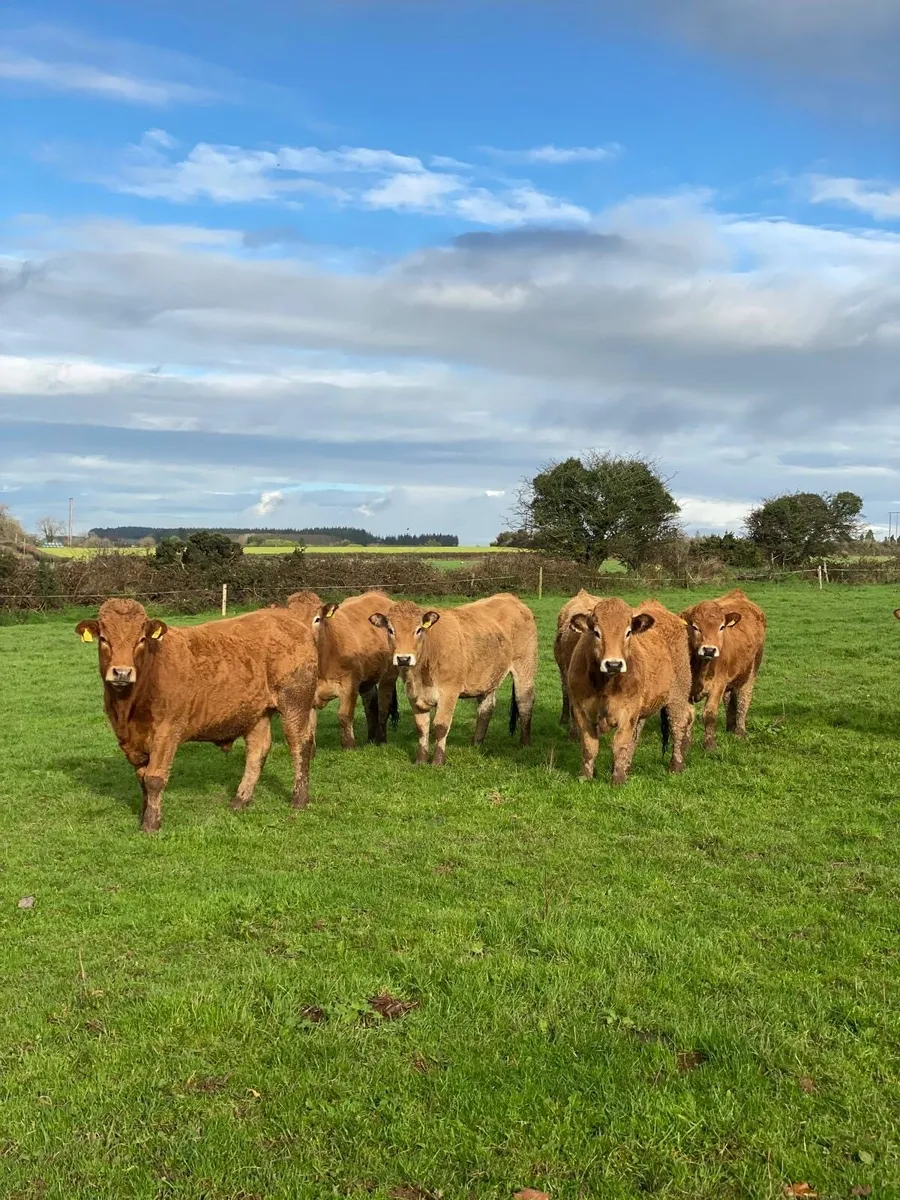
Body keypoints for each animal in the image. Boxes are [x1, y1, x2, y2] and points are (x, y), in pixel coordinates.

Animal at [75, 598, 318, 832]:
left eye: (141, 639)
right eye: (104, 639)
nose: (122, 672)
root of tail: (291, 621)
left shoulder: (168, 730)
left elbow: (154, 778)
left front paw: (151, 824)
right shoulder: (130, 738)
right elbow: (142, 778)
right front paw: (145, 815)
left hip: (295, 703)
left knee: (300, 745)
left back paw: (299, 799)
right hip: (257, 712)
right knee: (257, 751)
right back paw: (240, 800)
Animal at [286, 590, 399, 749]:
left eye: (317, 619)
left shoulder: (349, 684)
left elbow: (344, 715)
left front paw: (349, 745)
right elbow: (309, 724)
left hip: (389, 674)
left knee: (384, 704)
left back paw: (381, 740)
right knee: (370, 705)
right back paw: (371, 739)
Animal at [368, 593, 537, 766]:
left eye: (419, 629)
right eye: (390, 630)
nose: (403, 658)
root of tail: (509, 597)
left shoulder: (449, 692)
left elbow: (440, 726)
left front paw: (438, 761)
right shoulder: (413, 694)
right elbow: (422, 728)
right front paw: (421, 760)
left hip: (525, 666)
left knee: (524, 703)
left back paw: (525, 743)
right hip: (488, 676)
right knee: (486, 709)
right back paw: (476, 744)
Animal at [567, 597, 694, 785]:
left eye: (628, 633)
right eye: (596, 632)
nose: (613, 664)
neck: (605, 685)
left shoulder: (627, 712)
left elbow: (619, 745)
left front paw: (618, 780)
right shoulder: (581, 710)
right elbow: (590, 746)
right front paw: (586, 777)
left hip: (677, 696)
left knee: (679, 726)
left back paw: (675, 766)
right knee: (636, 736)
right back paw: (628, 768)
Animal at [680, 589, 766, 751]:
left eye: (721, 627)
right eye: (695, 627)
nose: (709, 650)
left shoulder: (718, 684)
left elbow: (710, 714)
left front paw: (710, 745)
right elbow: (687, 716)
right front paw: (684, 745)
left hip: (751, 670)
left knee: (744, 699)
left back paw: (739, 731)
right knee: (729, 698)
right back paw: (730, 727)